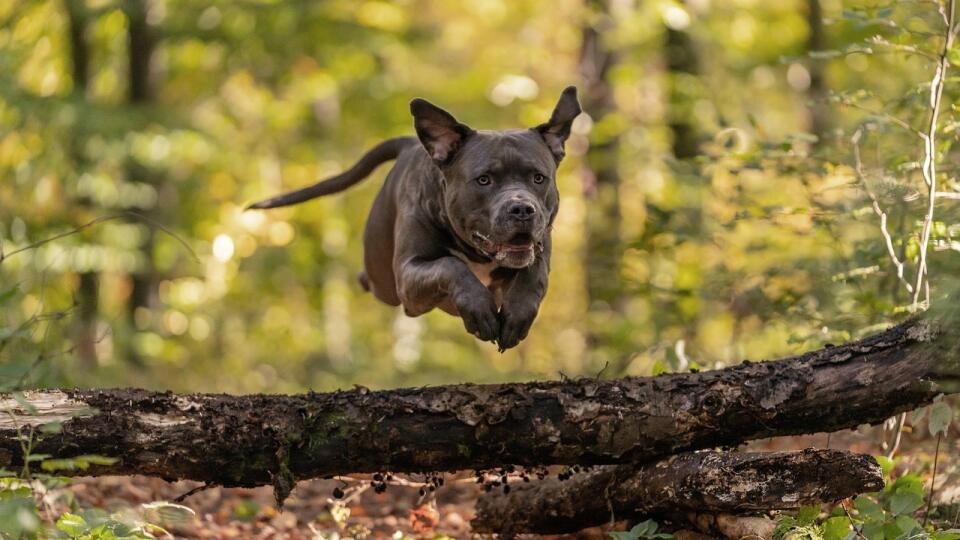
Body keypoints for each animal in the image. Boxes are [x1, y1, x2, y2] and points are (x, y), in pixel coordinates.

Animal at [251, 87, 580, 350]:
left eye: (538, 178)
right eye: (484, 180)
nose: (522, 209)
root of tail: (411, 143)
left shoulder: (539, 244)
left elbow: (534, 272)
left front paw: (517, 314)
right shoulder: (409, 273)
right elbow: (450, 265)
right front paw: (479, 309)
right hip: (385, 279)